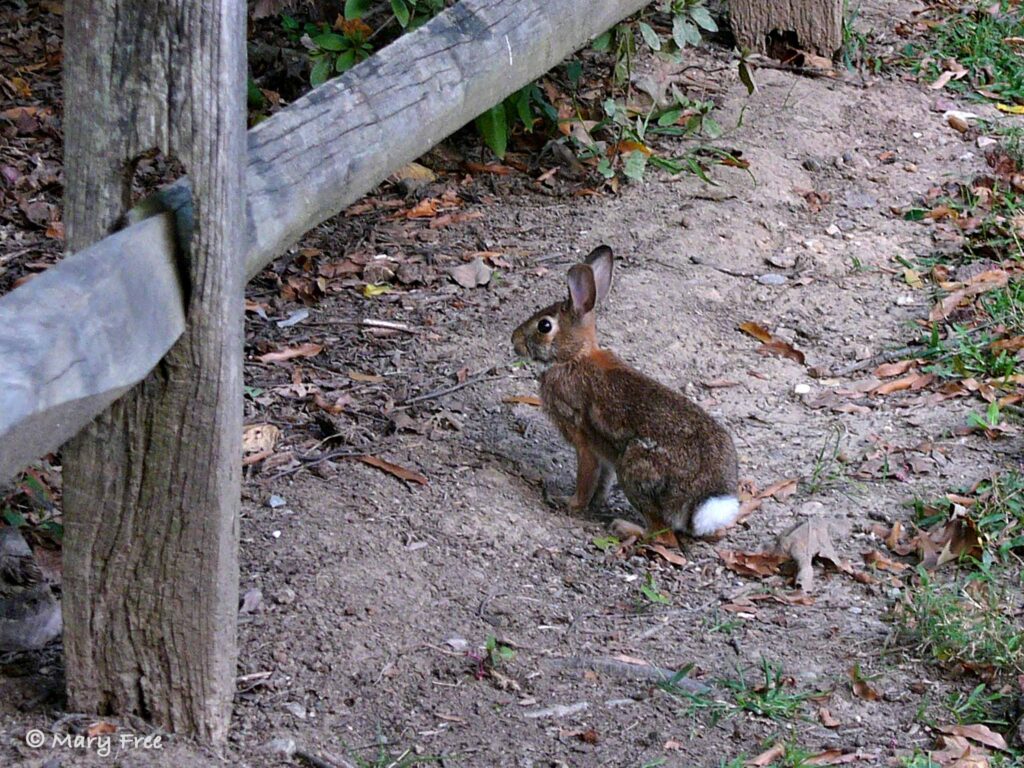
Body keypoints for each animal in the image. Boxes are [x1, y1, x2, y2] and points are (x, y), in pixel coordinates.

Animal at [511, 245, 739, 546]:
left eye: (544, 326)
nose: (514, 341)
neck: (573, 357)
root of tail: (706, 500)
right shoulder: (604, 455)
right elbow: (602, 481)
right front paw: (595, 503)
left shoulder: (583, 441)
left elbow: (586, 477)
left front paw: (570, 503)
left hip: (635, 467)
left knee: (663, 535)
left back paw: (625, 528)